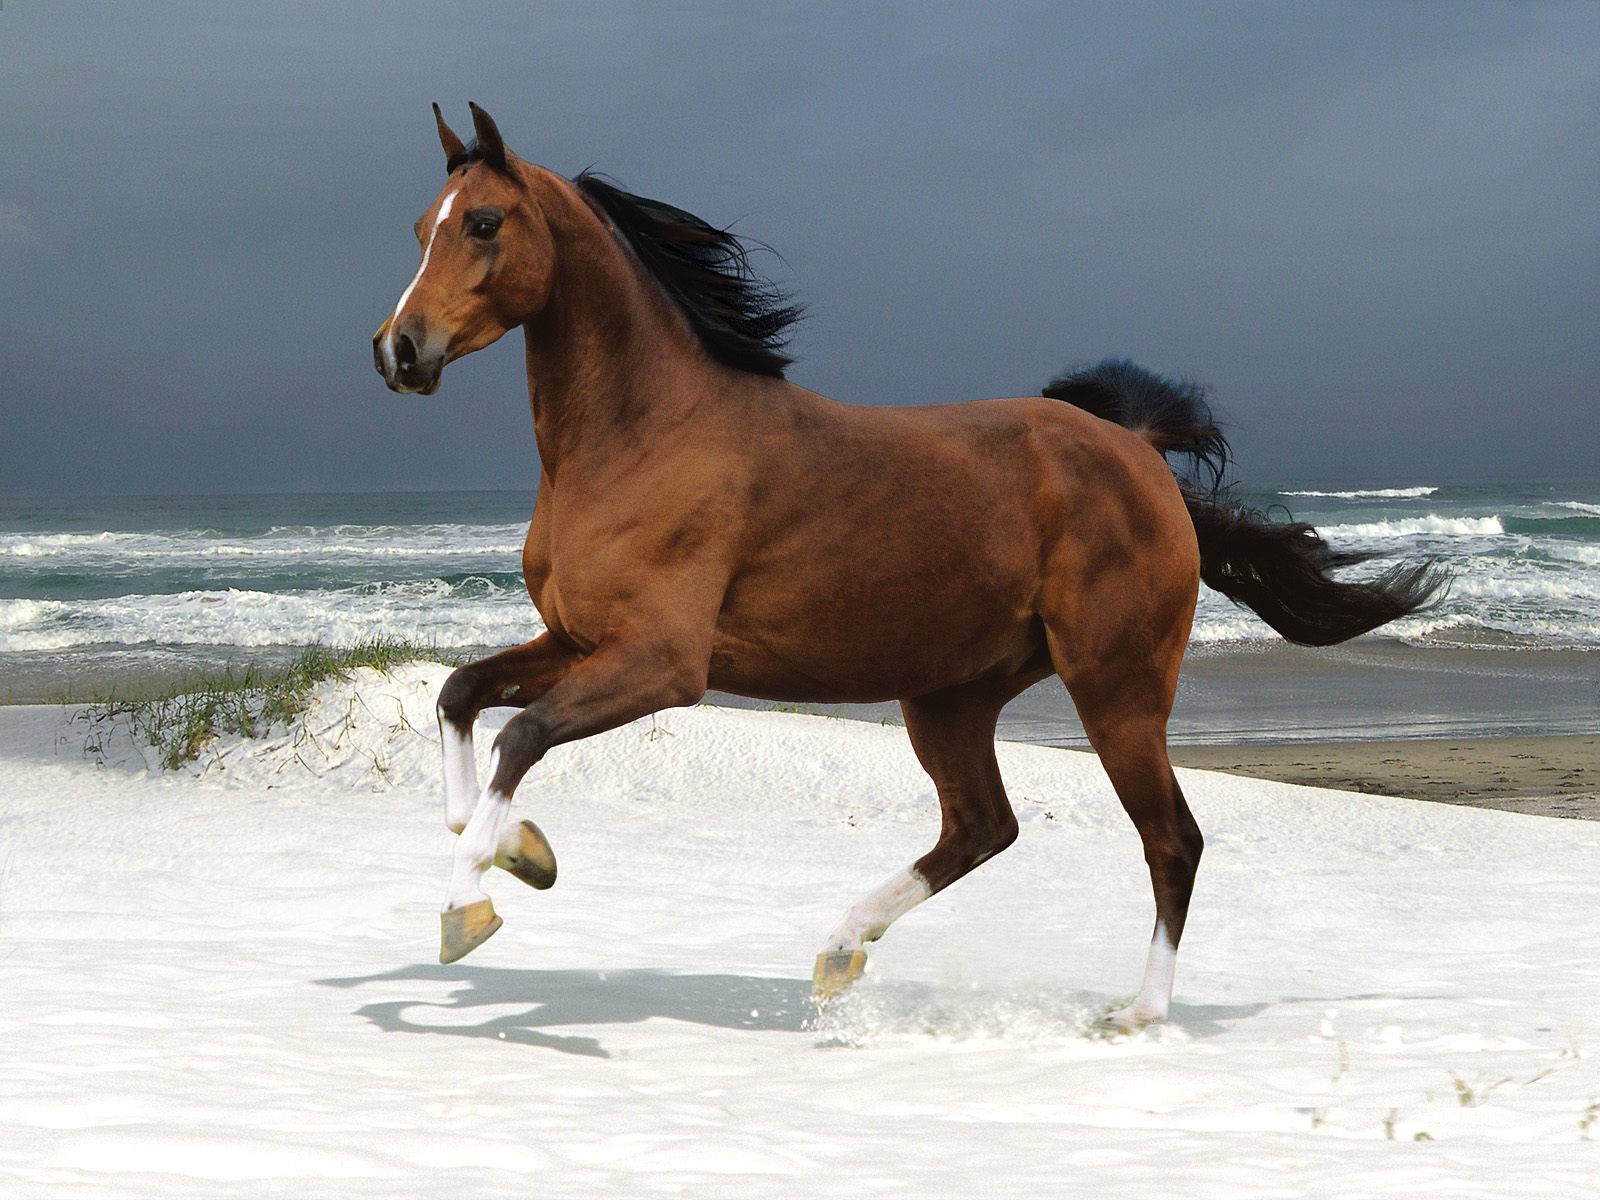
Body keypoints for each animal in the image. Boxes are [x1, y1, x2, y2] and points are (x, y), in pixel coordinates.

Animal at [372, 103, 1442, 1029]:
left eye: (483, 223)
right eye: (421, 226)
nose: (398, 350)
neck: (642, 434)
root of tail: (1134, 449)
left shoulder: (663, 666)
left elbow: (521, 737)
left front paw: (469, 906)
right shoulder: (578, 639)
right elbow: (462, 696)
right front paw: (519, 852)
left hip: (1117, 687)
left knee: (1169, 840)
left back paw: (1137, 1013)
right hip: (952, 695)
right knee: (984, 827)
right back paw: (840, 949)